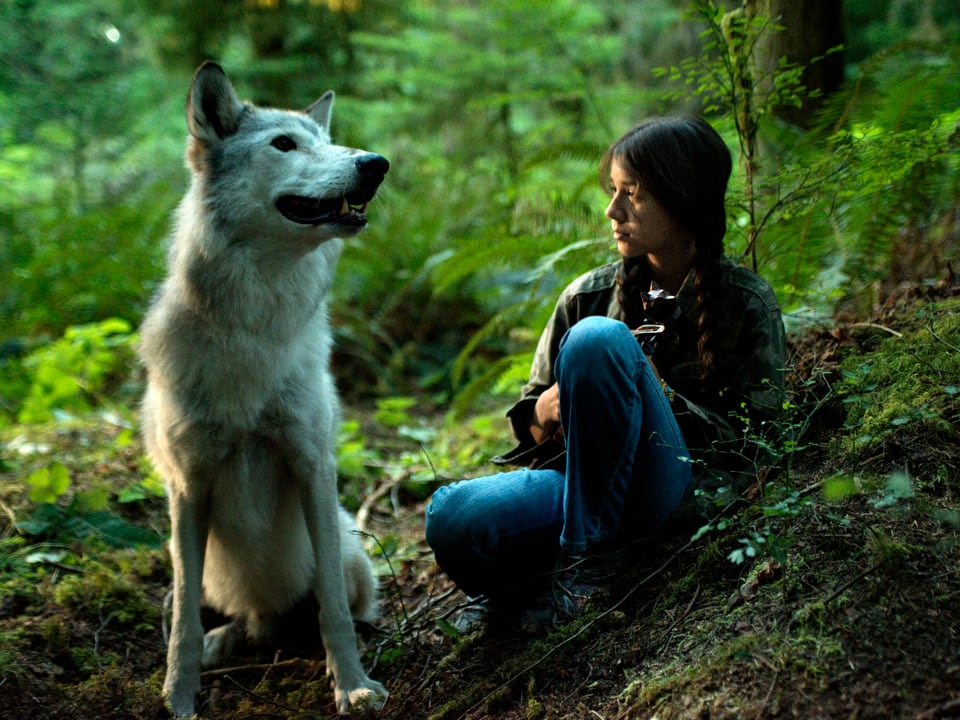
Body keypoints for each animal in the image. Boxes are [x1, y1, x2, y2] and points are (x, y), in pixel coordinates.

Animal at [138, 63, 390, 720]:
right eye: (284, 144)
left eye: (327, 139)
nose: (376, 162)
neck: (252, 327)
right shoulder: (188, 487)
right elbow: (183, 624)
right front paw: (179, 696)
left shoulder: (311, 465)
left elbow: (332, 609)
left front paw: (352, 685)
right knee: (242, 621)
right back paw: (230, 639)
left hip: (349, 544)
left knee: (335, 609)